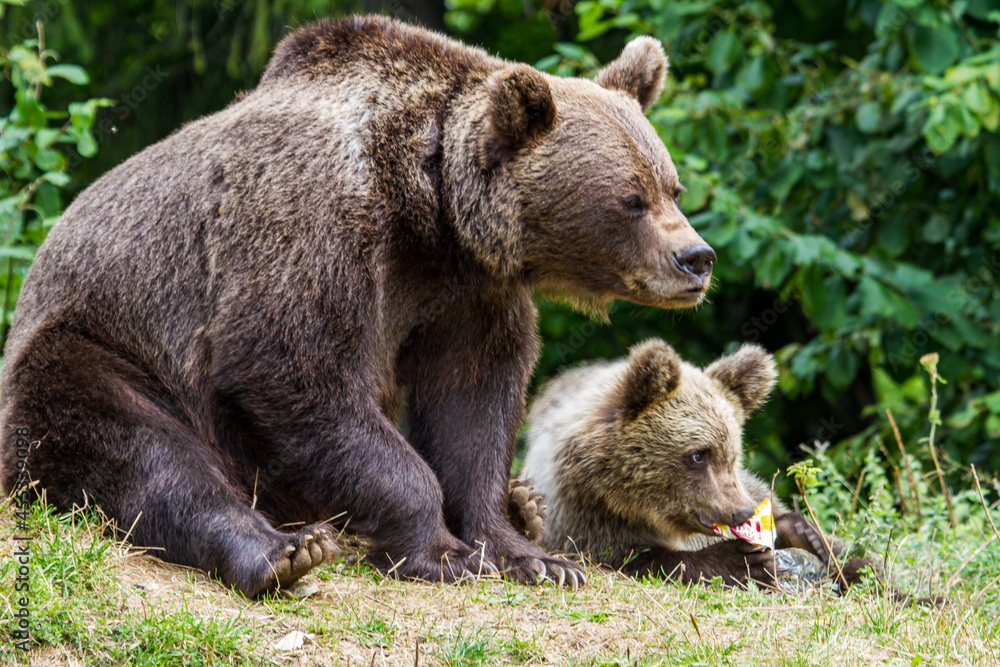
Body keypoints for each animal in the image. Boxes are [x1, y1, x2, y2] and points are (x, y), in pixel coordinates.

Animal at [1, 14, 720, 596]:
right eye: (631, 198)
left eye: (671, 186)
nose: (697, 257)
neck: (427, 209)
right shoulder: (311, 223)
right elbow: (292, 366)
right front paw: (445, 552)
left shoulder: (468, 294)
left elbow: (472, 404)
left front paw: (531, 555)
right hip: (94, 346)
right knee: (141, 449)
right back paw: (282, 551)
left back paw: (526, 505)